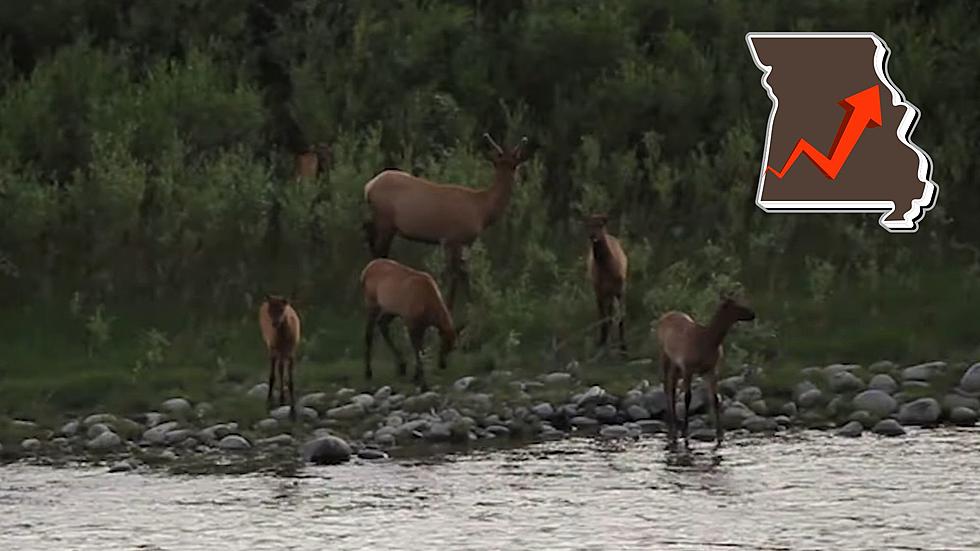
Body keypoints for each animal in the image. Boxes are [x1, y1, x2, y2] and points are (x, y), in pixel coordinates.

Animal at [362, 133, 532, 310]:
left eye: (514, 165)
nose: (518, 180)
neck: (482, 210)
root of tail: (369, 186)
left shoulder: (461, 243)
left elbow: (462, 274)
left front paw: (471, 303)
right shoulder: (455, 238)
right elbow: (456, 274)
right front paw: (454, 305)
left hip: (380, 220)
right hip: (385, 220)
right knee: (379, 250)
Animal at [362, 260, 462, 392]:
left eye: (454, 347)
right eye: (443, 343)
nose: (443, 365)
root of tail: (365, 270)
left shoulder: (422, 326)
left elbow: (420, 349)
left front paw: (416, 377)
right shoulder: (411, 323)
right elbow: (417, 350)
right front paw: (422, 383)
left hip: (390, 309)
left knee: (382, 324)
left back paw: (402, 365)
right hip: (372, 304)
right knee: (369, 333)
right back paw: (368, 372)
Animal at [580, 213, 628, 356]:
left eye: (601, 224)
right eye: (588, 225)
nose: (592, 236)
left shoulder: (619, 289)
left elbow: (620, 317)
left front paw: (623, 346)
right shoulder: (600, 290)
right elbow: (604, 318)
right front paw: (602, 342)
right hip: (600, 292)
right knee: (603, 314)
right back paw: (603, 340)